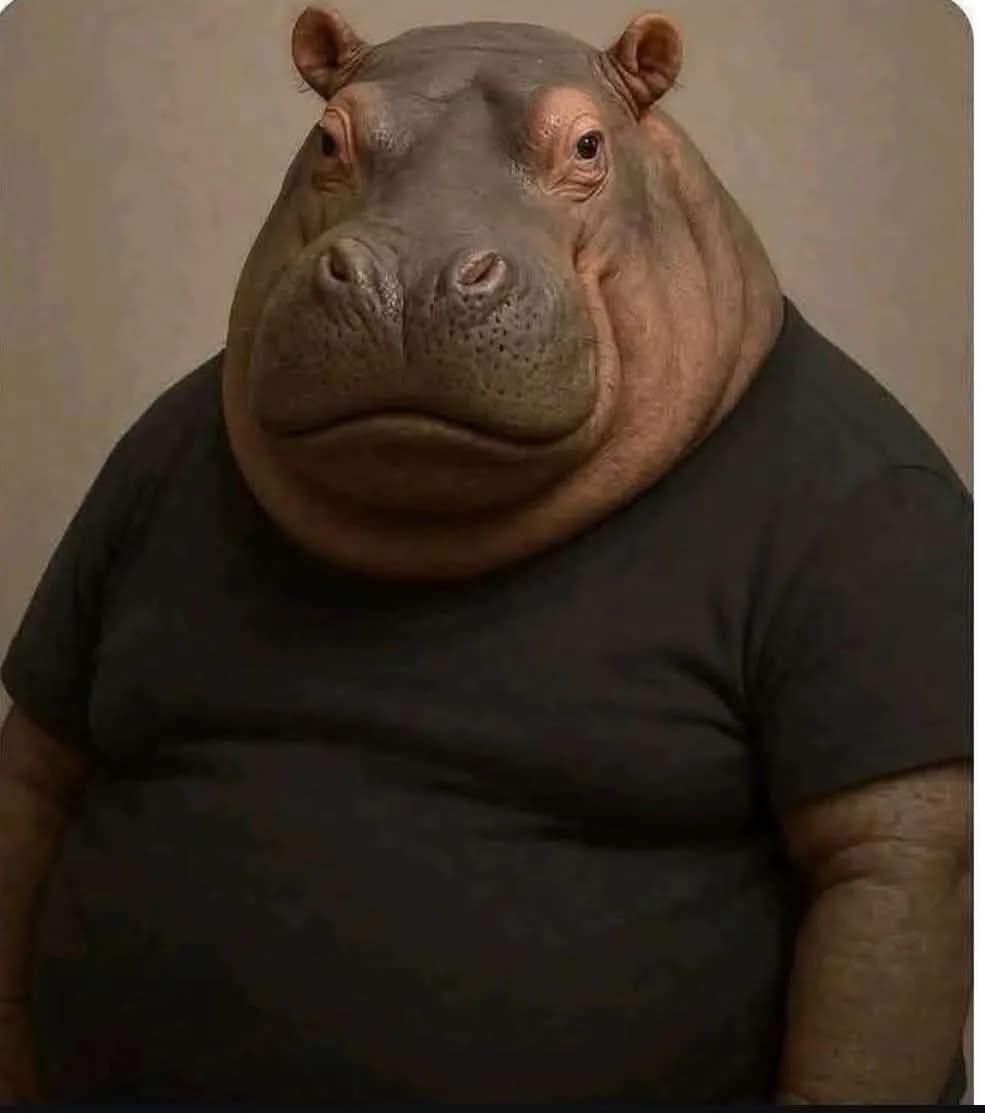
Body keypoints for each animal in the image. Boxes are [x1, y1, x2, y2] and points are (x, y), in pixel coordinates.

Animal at [0, 7, 970, 1105]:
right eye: (327, 139)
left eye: (587, 145)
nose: (405, 278)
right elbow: (37, 768)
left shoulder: (888, 624)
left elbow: (872, 908)